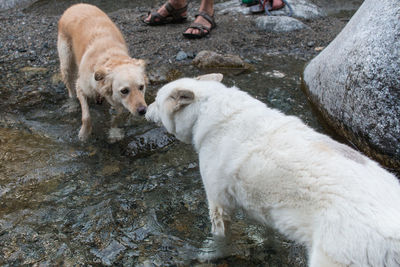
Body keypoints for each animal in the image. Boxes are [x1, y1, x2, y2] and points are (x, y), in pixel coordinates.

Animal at [57, 3, 148, 142]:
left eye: (141, 87)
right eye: (124, 90)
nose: (143, 111)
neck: (110, 58)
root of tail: (76, 5)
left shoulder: (118, 102)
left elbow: (117, 117)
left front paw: (114, 133)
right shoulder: (81, 87)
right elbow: (86, 117)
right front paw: (84, 134)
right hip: (66, 61)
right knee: (70, 88)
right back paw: (71, 104)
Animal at [146, 75, 400, 267]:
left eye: (156, 102)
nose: (144, 110)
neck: (207, 109)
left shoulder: (219, 203)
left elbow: (219, 240)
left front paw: (207, 255)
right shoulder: (261, 208)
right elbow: (267, 233)